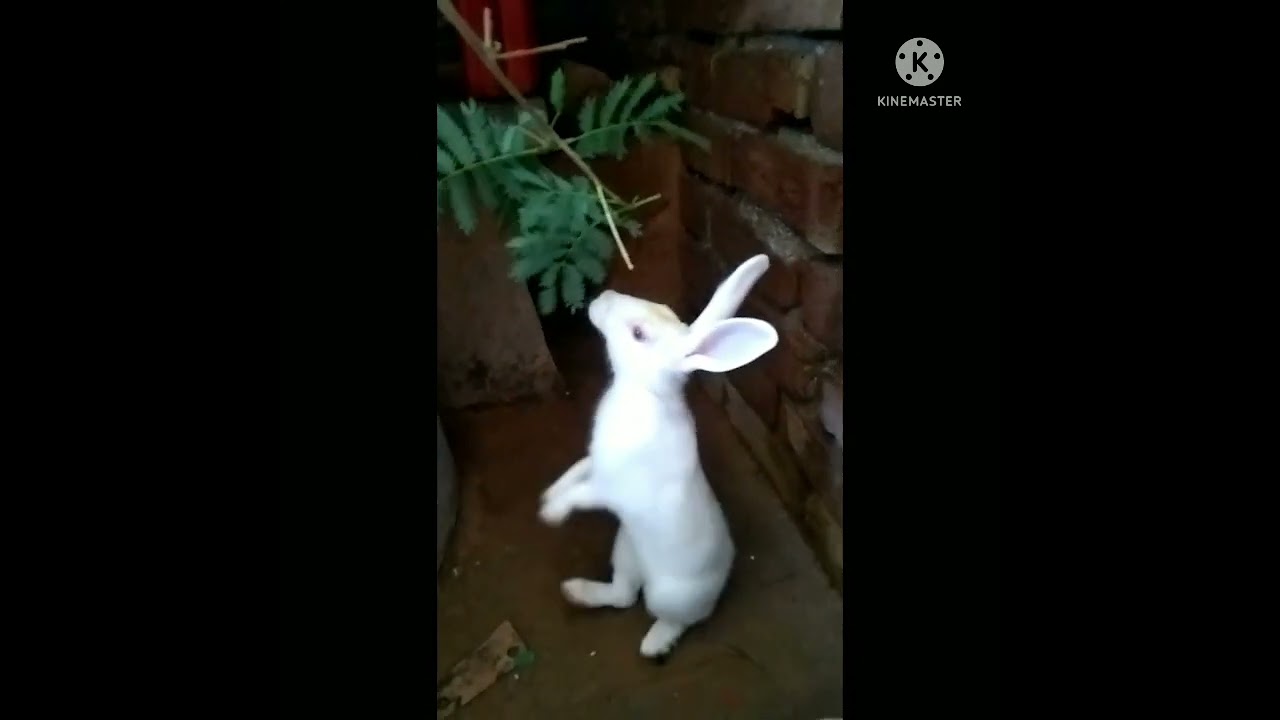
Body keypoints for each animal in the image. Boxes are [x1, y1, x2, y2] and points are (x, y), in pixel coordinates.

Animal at [538, 254, 779, 659]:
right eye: (662, 307)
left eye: (638, 334)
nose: (604, 297)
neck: (644, 392)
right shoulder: (595, 463)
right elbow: (575, 472)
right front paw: (548, 496)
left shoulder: (612, 488)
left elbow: (583, 495)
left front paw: (552, 514)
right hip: (625, 550)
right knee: (622, 596)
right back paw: (577, 592)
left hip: (669, 596)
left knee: (675, 618)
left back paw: (654, 645)